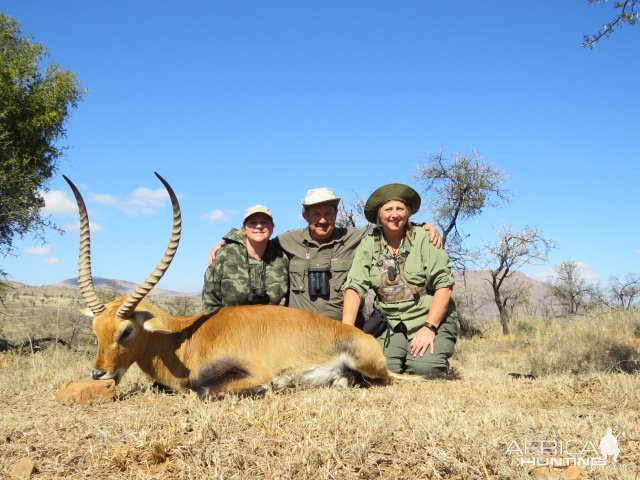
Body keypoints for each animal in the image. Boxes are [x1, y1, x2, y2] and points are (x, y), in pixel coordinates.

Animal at [66, 172, 396, 398]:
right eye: (95, 330)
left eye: (126, 330)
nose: (99, 373)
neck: (183, 338)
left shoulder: (246, 373)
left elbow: (207, 391)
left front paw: (276, 384)